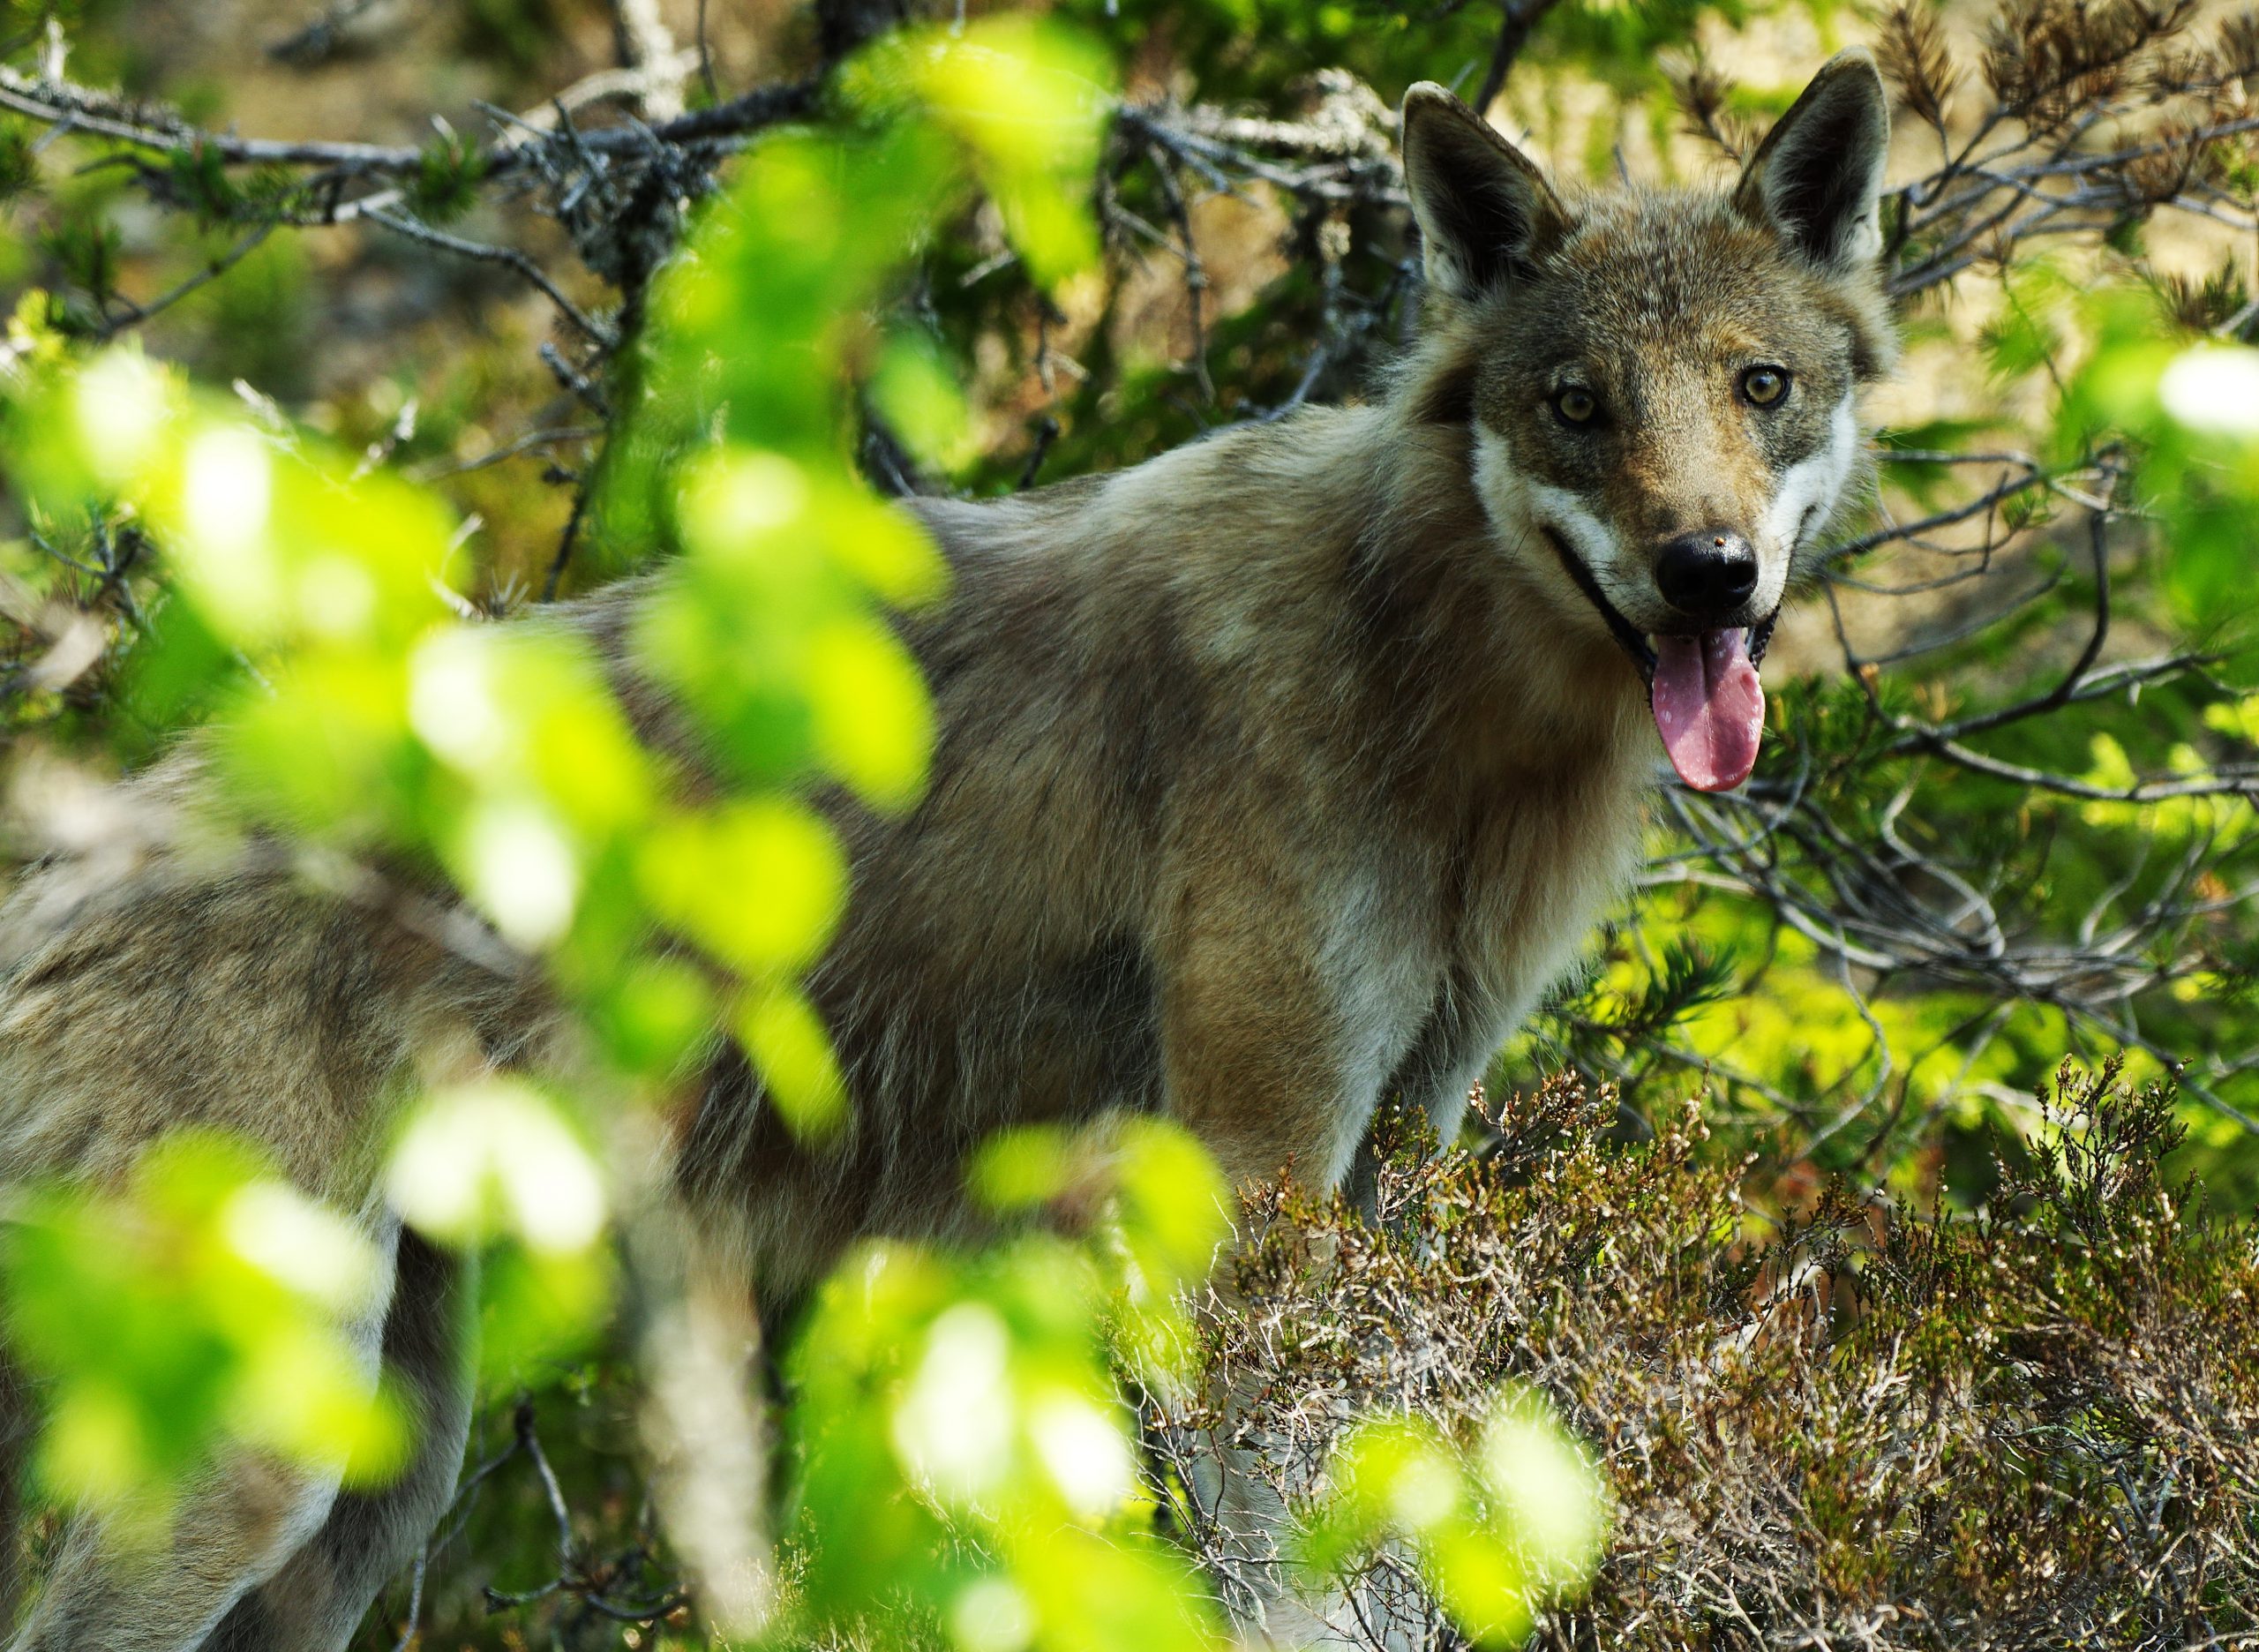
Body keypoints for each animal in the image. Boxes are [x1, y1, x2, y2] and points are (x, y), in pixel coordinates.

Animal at [0, 51, 1897, 1652]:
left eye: (1762, 388)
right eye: (1580, 403)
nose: (1711, 572)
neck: (1427, 678)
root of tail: (80, 854)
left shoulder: (1398, 1154)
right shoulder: (1254, 1172)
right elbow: (1289, 1577)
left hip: (374, 1483)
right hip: (265, 1473)